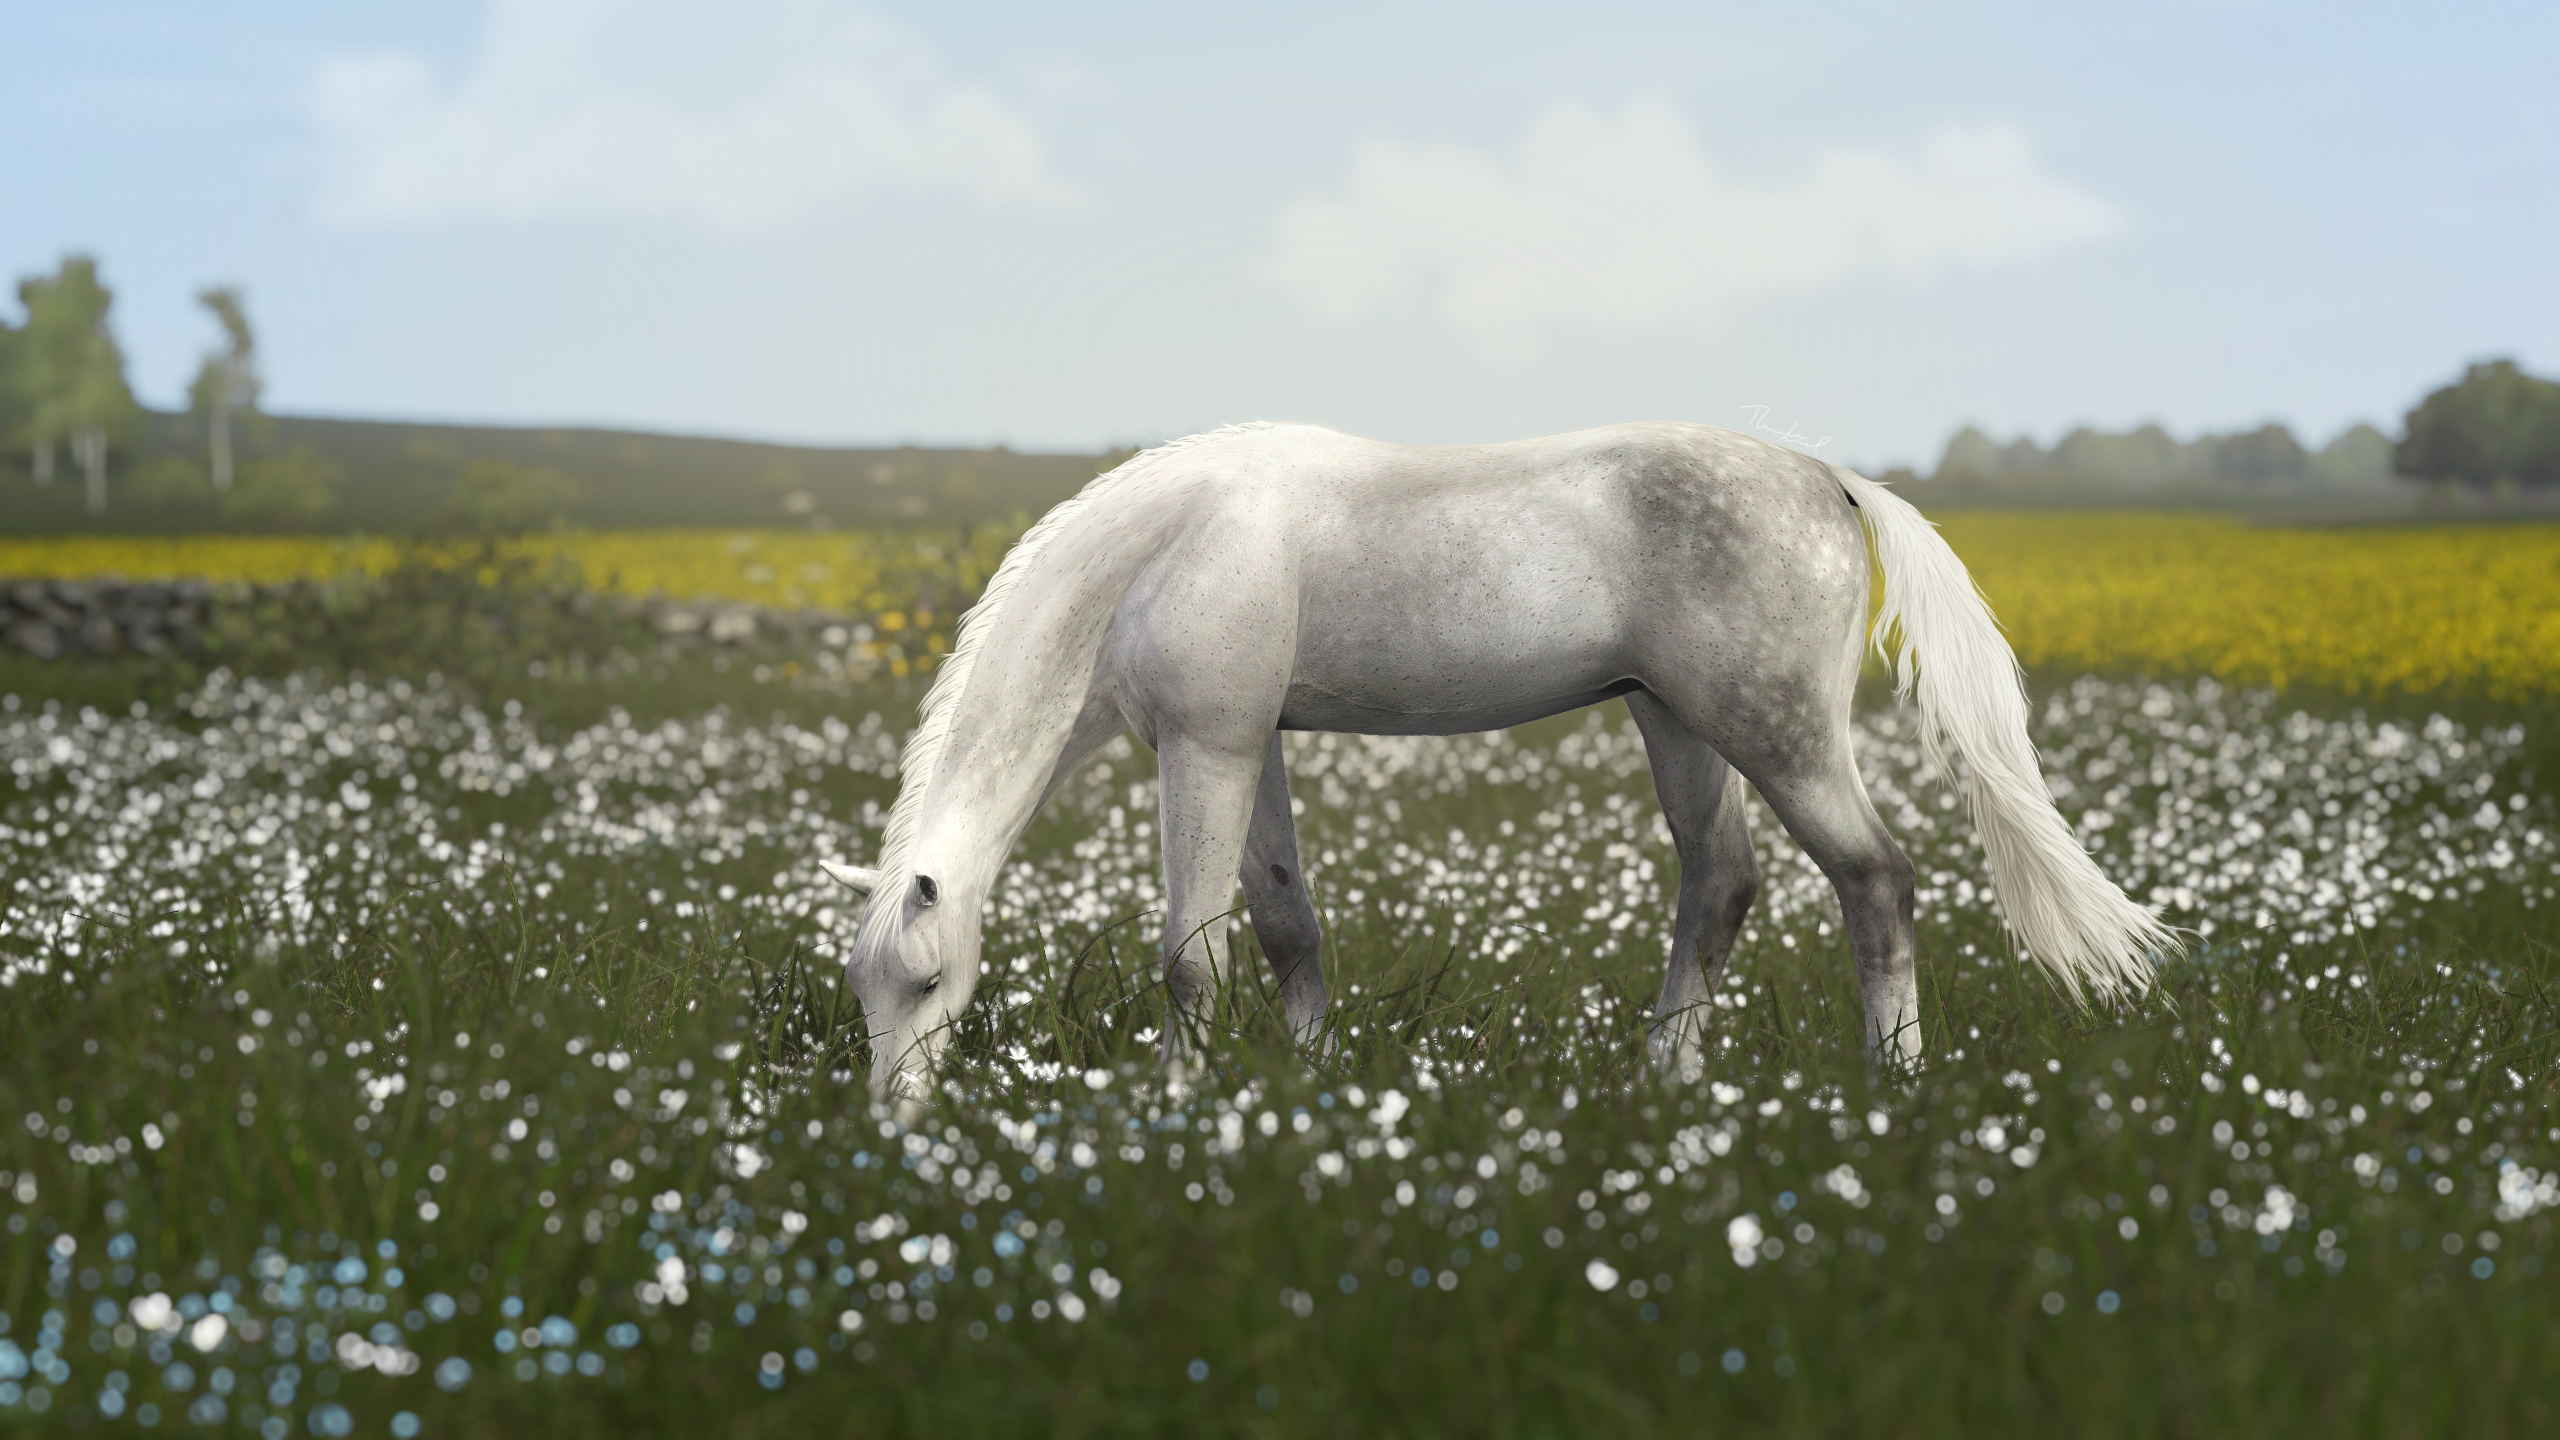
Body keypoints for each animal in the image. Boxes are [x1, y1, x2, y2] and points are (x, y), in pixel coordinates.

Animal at [821, 421, 2176, 1111]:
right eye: (866, 992)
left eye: (929, 982)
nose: (893, 1123)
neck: (1156, 552)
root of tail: (1836, 484)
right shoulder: (1251, 748)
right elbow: (1287, 931)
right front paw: (1308, 1094)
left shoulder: (1208, 748)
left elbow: (1191, 956)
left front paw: (1179, 1121)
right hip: (1678, 725)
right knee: (1722, 884)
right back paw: (1662, 1085)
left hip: (1777, 734)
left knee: (1876, 880)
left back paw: (1892, 1085)